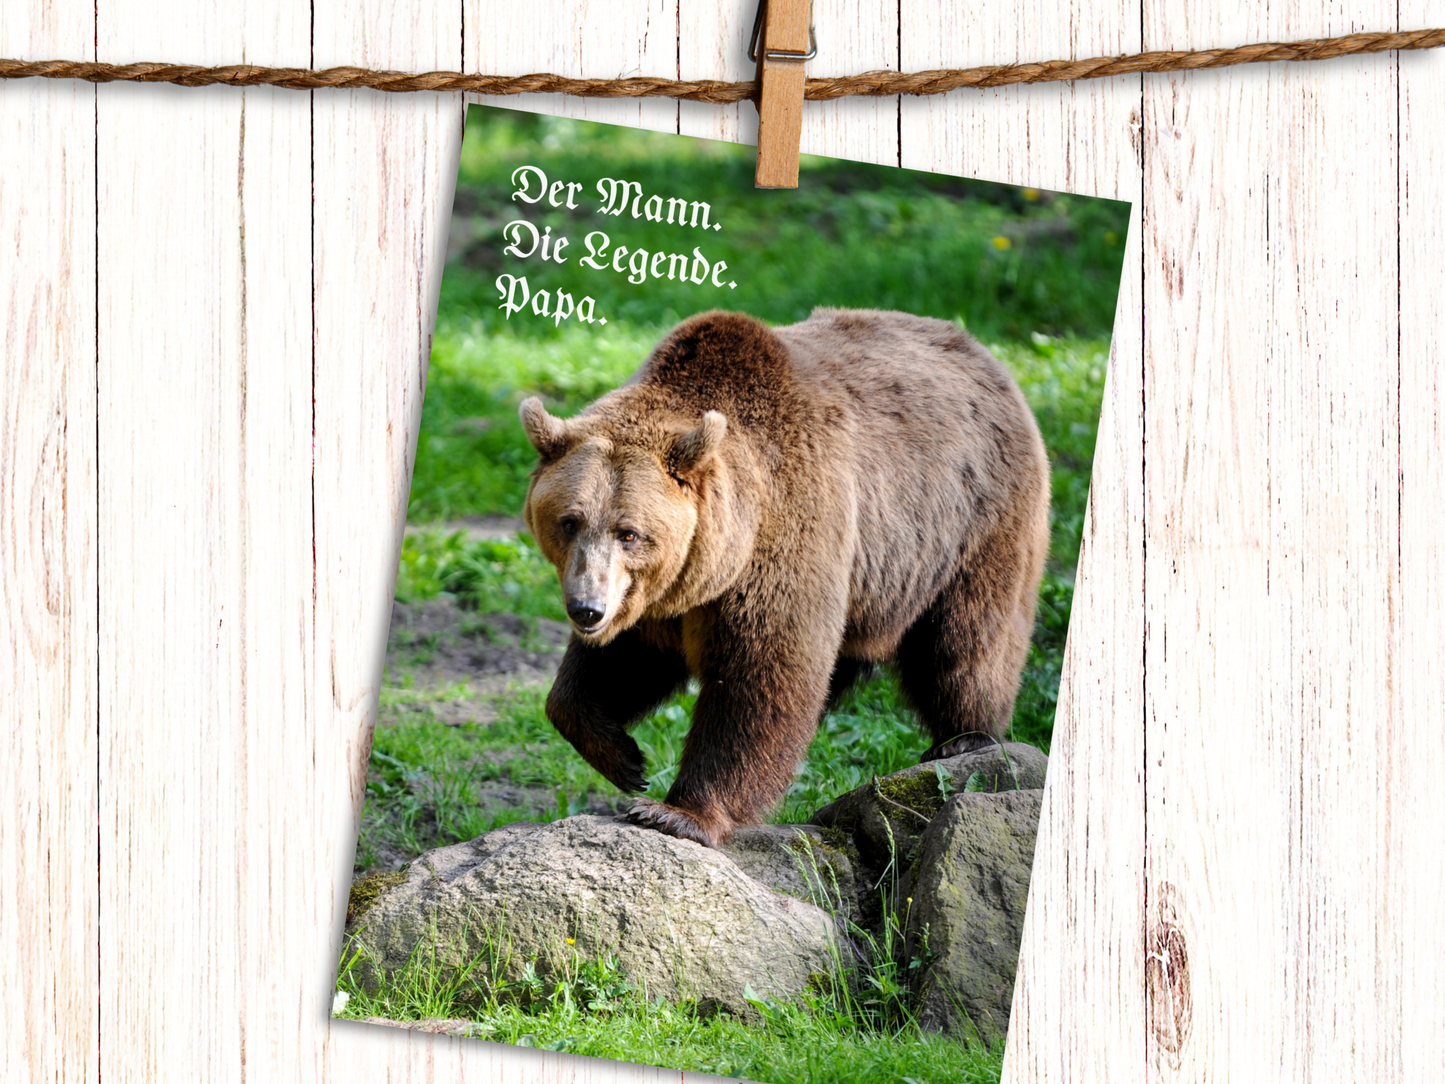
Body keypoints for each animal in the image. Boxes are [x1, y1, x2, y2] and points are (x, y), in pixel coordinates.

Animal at [519, 308, 1051, 848]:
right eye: (569, 521)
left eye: (629, 532)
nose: (587, 609)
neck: (719, 556)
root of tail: (982, 352)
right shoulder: (659, 596)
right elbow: (617, 665)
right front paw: (624, 758)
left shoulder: (786, 534)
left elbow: (762, 674)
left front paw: (676, 812)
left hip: (971, 520)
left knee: (966, 638)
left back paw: (965, 737)